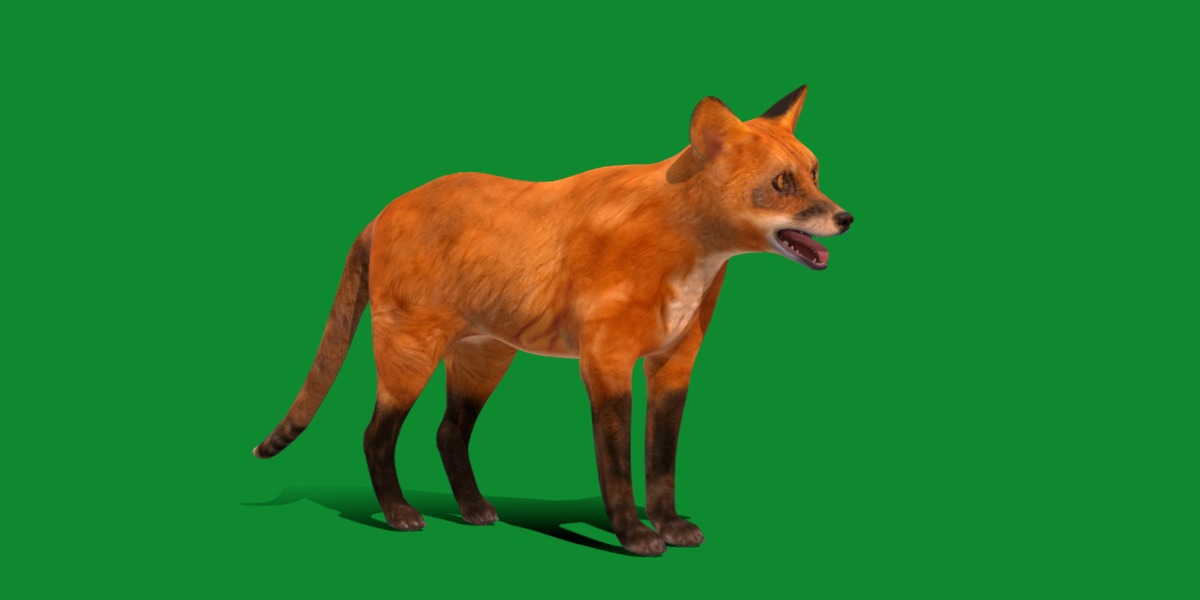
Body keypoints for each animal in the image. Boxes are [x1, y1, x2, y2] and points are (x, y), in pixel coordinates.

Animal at [253, 85, 853, 556]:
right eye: (782, 183)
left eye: (815, 173)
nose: (847, 217)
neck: (688, 253)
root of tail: (385, 209)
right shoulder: (606, 363)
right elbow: (618, 465)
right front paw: (635, 536)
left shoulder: (673, 365)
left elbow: (662, 464)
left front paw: (669, 525)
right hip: (410, 357)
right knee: (375, 435)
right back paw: (400, 514)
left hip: (483, 360)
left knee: (448, 434)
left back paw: (474, 509)